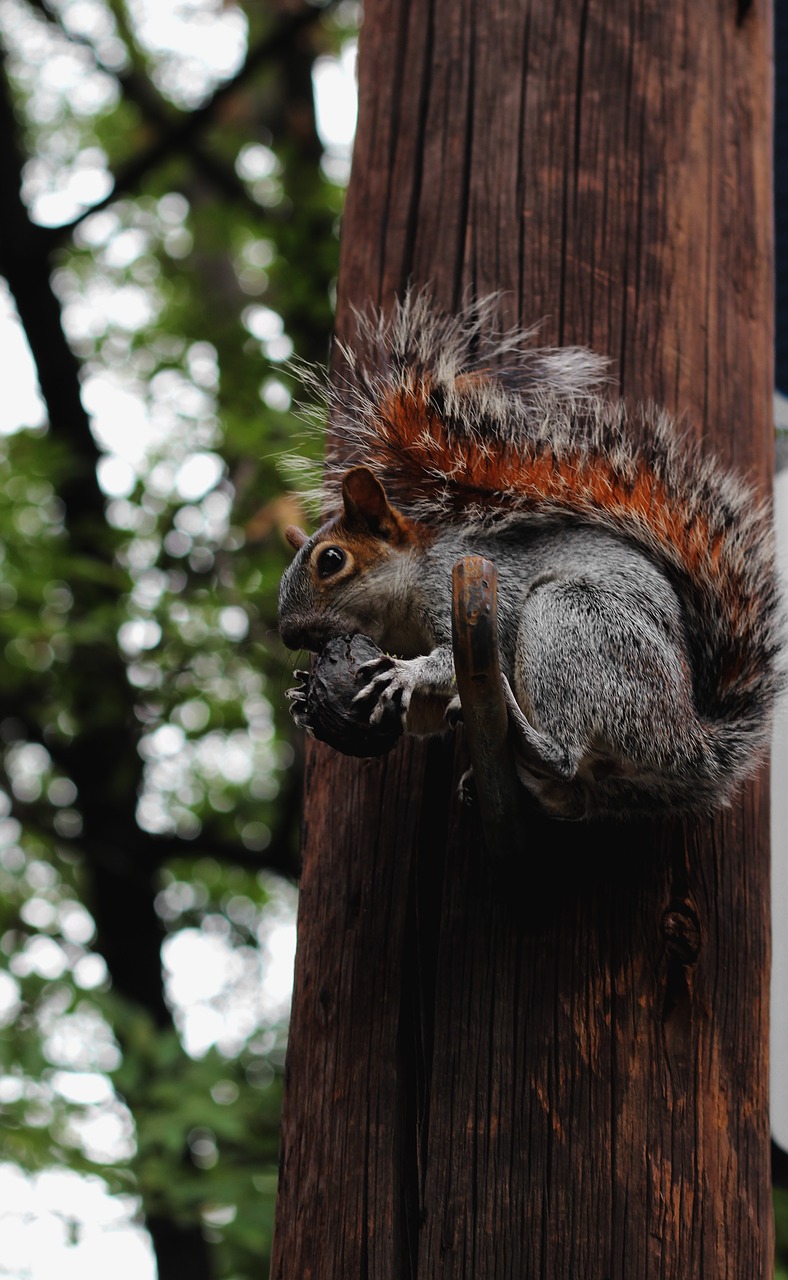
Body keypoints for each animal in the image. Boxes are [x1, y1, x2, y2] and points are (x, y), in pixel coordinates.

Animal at [278, 293, 782, 819]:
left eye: (332, 561)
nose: (288, 633)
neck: (402, 613)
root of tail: (688, 742)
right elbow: (424, 714)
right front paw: (304, 697)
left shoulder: (463, 591)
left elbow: (464, 660)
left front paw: (404, 671)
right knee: (575, 792)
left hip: (575, 619)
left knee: (566, 752)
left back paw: (529, 739)